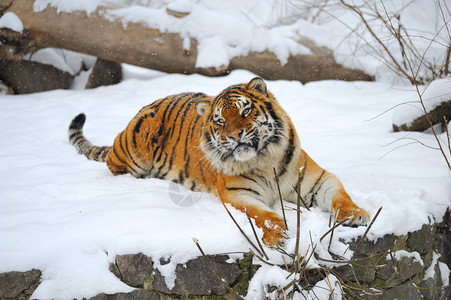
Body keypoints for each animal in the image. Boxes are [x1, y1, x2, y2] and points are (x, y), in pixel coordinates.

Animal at [68, 77, 370, 246]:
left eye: (245, 111)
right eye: (220, 121)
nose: (235, 135)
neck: (263, 159)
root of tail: (145, 107)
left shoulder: (317, 180)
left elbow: (340, 196)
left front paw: (356, 215)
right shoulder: (238, 195)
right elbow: (263, 215)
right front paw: (276, 236)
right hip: (134, 150)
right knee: (113, 166)